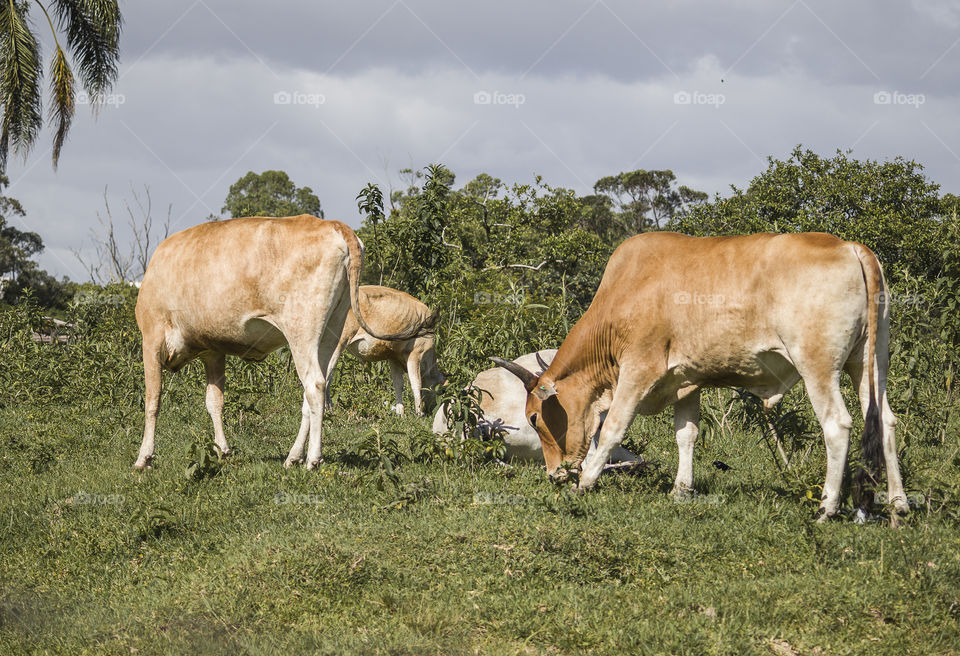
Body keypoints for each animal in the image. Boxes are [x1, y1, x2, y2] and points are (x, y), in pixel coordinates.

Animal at [133, 215, 422, 472]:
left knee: (314, 385)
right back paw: (294, 456)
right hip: (331, 330)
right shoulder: (213, 350)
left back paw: (312, 459)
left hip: (301, 330)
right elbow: (214, 402)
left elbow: (152, 400)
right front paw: (222, 449)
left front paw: (144, 457)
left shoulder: (151, 338)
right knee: (315, 389)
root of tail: (332, 224)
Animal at [496, 233, 908, 520]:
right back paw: (899, 504)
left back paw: (827, 508)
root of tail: (852, 247)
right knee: (886, 421)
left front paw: (585, 481)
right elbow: (686, 435)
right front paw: (681, 489)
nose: (553, 474)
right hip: (869, 363)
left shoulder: (638, 370)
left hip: (818, 367)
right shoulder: (686, 381)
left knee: (837, 425)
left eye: (534, 418)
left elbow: (613, 427)